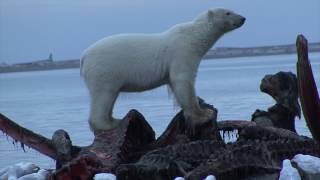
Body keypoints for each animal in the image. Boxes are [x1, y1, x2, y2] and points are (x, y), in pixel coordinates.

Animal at [80, 8, 245, 132]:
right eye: (228, 12)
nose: (243, 18)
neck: (194, 36)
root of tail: (84, 56)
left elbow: (174, 84)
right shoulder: (183, 51)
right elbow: (182, 79)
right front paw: (204, 114)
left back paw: (112, 118)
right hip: (105, 70)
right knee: (104, 95)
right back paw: (109, 123)